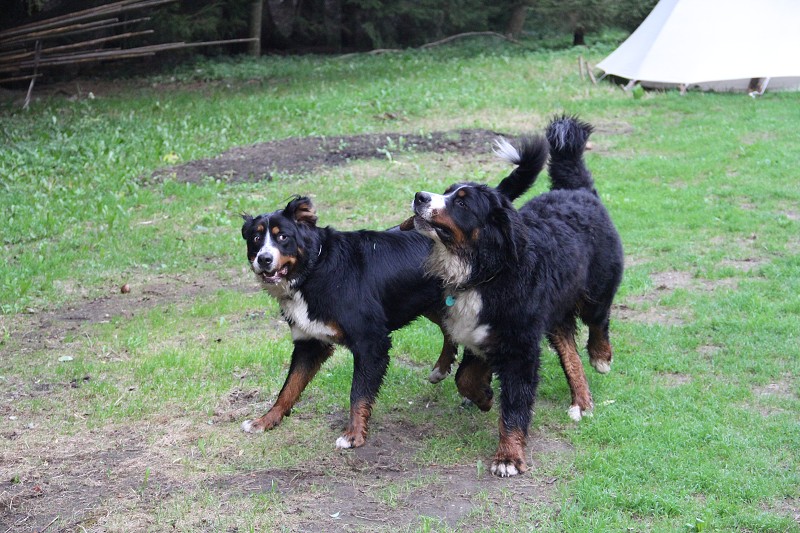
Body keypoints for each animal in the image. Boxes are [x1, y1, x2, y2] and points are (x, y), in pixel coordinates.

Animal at [241, 138, 548, 448]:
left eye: (283, 237)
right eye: (255, 238)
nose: (263, 259)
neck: (315, 270)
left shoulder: (370, 341)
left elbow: (358, 394)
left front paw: (353, 435)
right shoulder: (309, 342)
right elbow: (288, 388)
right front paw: (265, 420)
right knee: (448, 331)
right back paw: (442, 368)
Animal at [406, 115, 624, 474]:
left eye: (461, 202)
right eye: (447, 191)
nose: (420, 196)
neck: (485, 272)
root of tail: (577, 191)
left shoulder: (520, 345)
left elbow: (515, 406)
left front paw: (508, 456)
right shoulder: (480, 335)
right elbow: (465, 378)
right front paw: (483, 395)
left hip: (596, 288)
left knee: (599, 321)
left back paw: (600, 357)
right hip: (554, 316)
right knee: (569, 351)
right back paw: (581, 400)